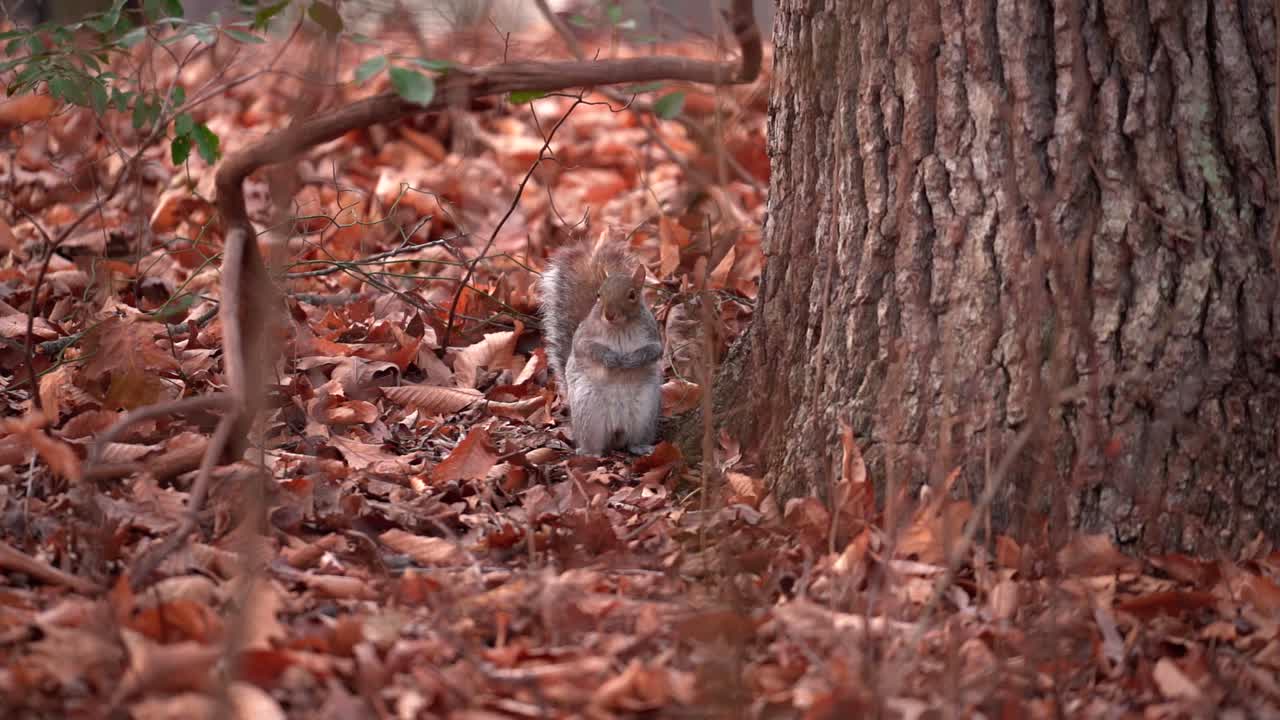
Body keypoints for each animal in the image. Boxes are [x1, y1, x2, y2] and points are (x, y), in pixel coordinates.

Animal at [539, 236, 663, 457]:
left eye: (632, 295)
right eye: (599, 295)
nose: (609, 314)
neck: (619, 328)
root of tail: (617, 428)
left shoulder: (653, 335)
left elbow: (653, 351)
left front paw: (631, 360)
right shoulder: (583, 337)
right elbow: (587, 349)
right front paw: (611, 358)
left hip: (644, 413)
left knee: (634, 440)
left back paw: (641, 447)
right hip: (589, 414)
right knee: (594, 443)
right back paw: (589, 453)